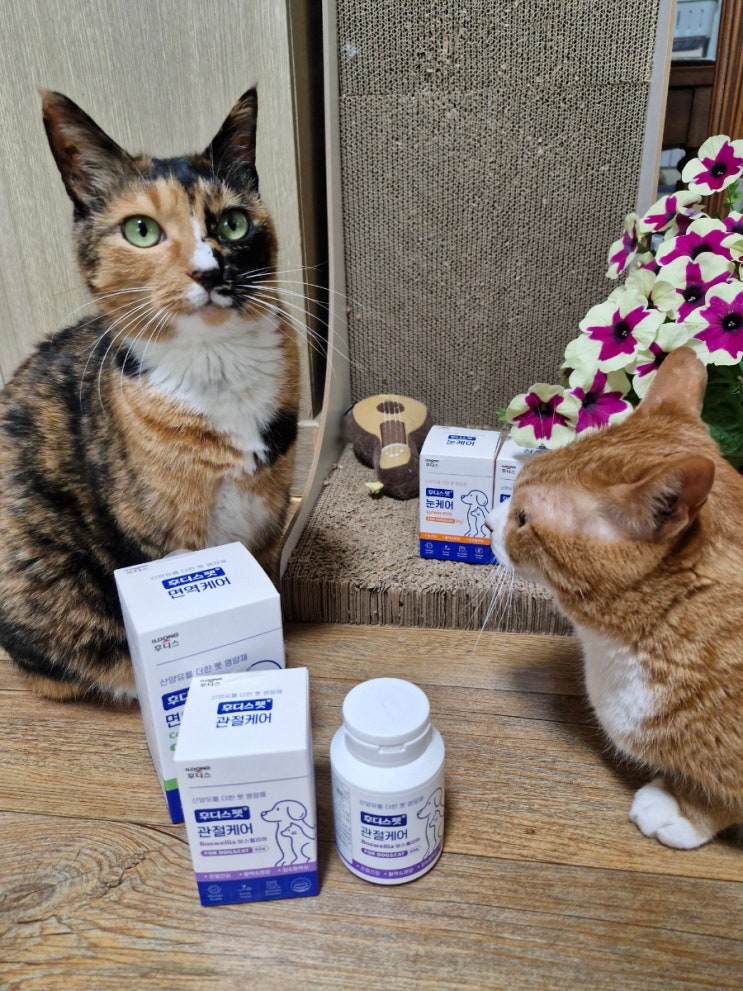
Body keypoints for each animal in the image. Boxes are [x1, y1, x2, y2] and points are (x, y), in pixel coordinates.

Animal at [0, 89, 299, 702]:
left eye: (233, 223)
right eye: (141, 230)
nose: (209, 271)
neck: (216, 365)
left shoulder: (267, 518)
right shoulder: (165, 538)